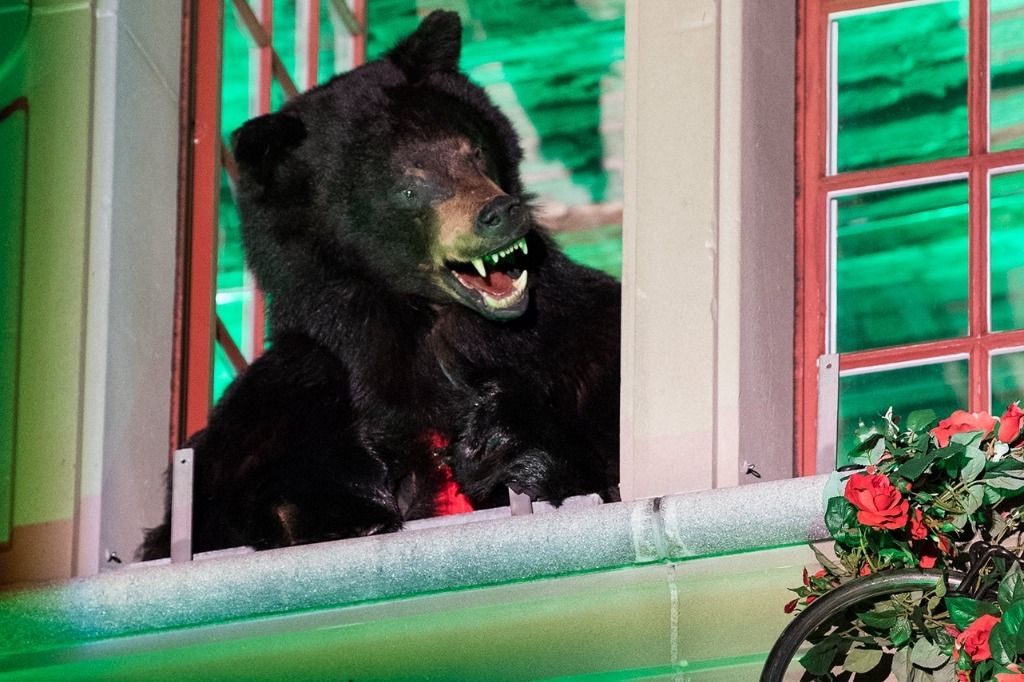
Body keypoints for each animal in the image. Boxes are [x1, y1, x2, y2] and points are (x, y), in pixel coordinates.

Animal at [139, 10, 620, 560]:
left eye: (474, 150)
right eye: (409, 187)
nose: (500, 212)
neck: (429, 330)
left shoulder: (577, 338)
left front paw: (504, 442)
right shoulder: (276, 400)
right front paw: (346, 501)